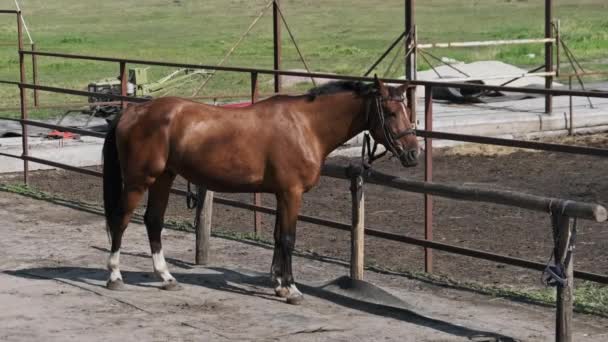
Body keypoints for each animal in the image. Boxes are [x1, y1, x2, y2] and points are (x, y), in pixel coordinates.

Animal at [103, 77, 418, 304]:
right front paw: (291, 289)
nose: (414, 154)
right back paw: (115, 276)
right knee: (121, 220)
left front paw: (278, 284)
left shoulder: (281, 194)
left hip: (163, 178)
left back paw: (166, 277)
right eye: (390, 112)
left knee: (153, 221)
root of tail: (133, 111)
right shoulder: (291, 193)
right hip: (139, 181)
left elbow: (278, 237)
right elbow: (289, 239)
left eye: (407, 111)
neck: (306, 125)